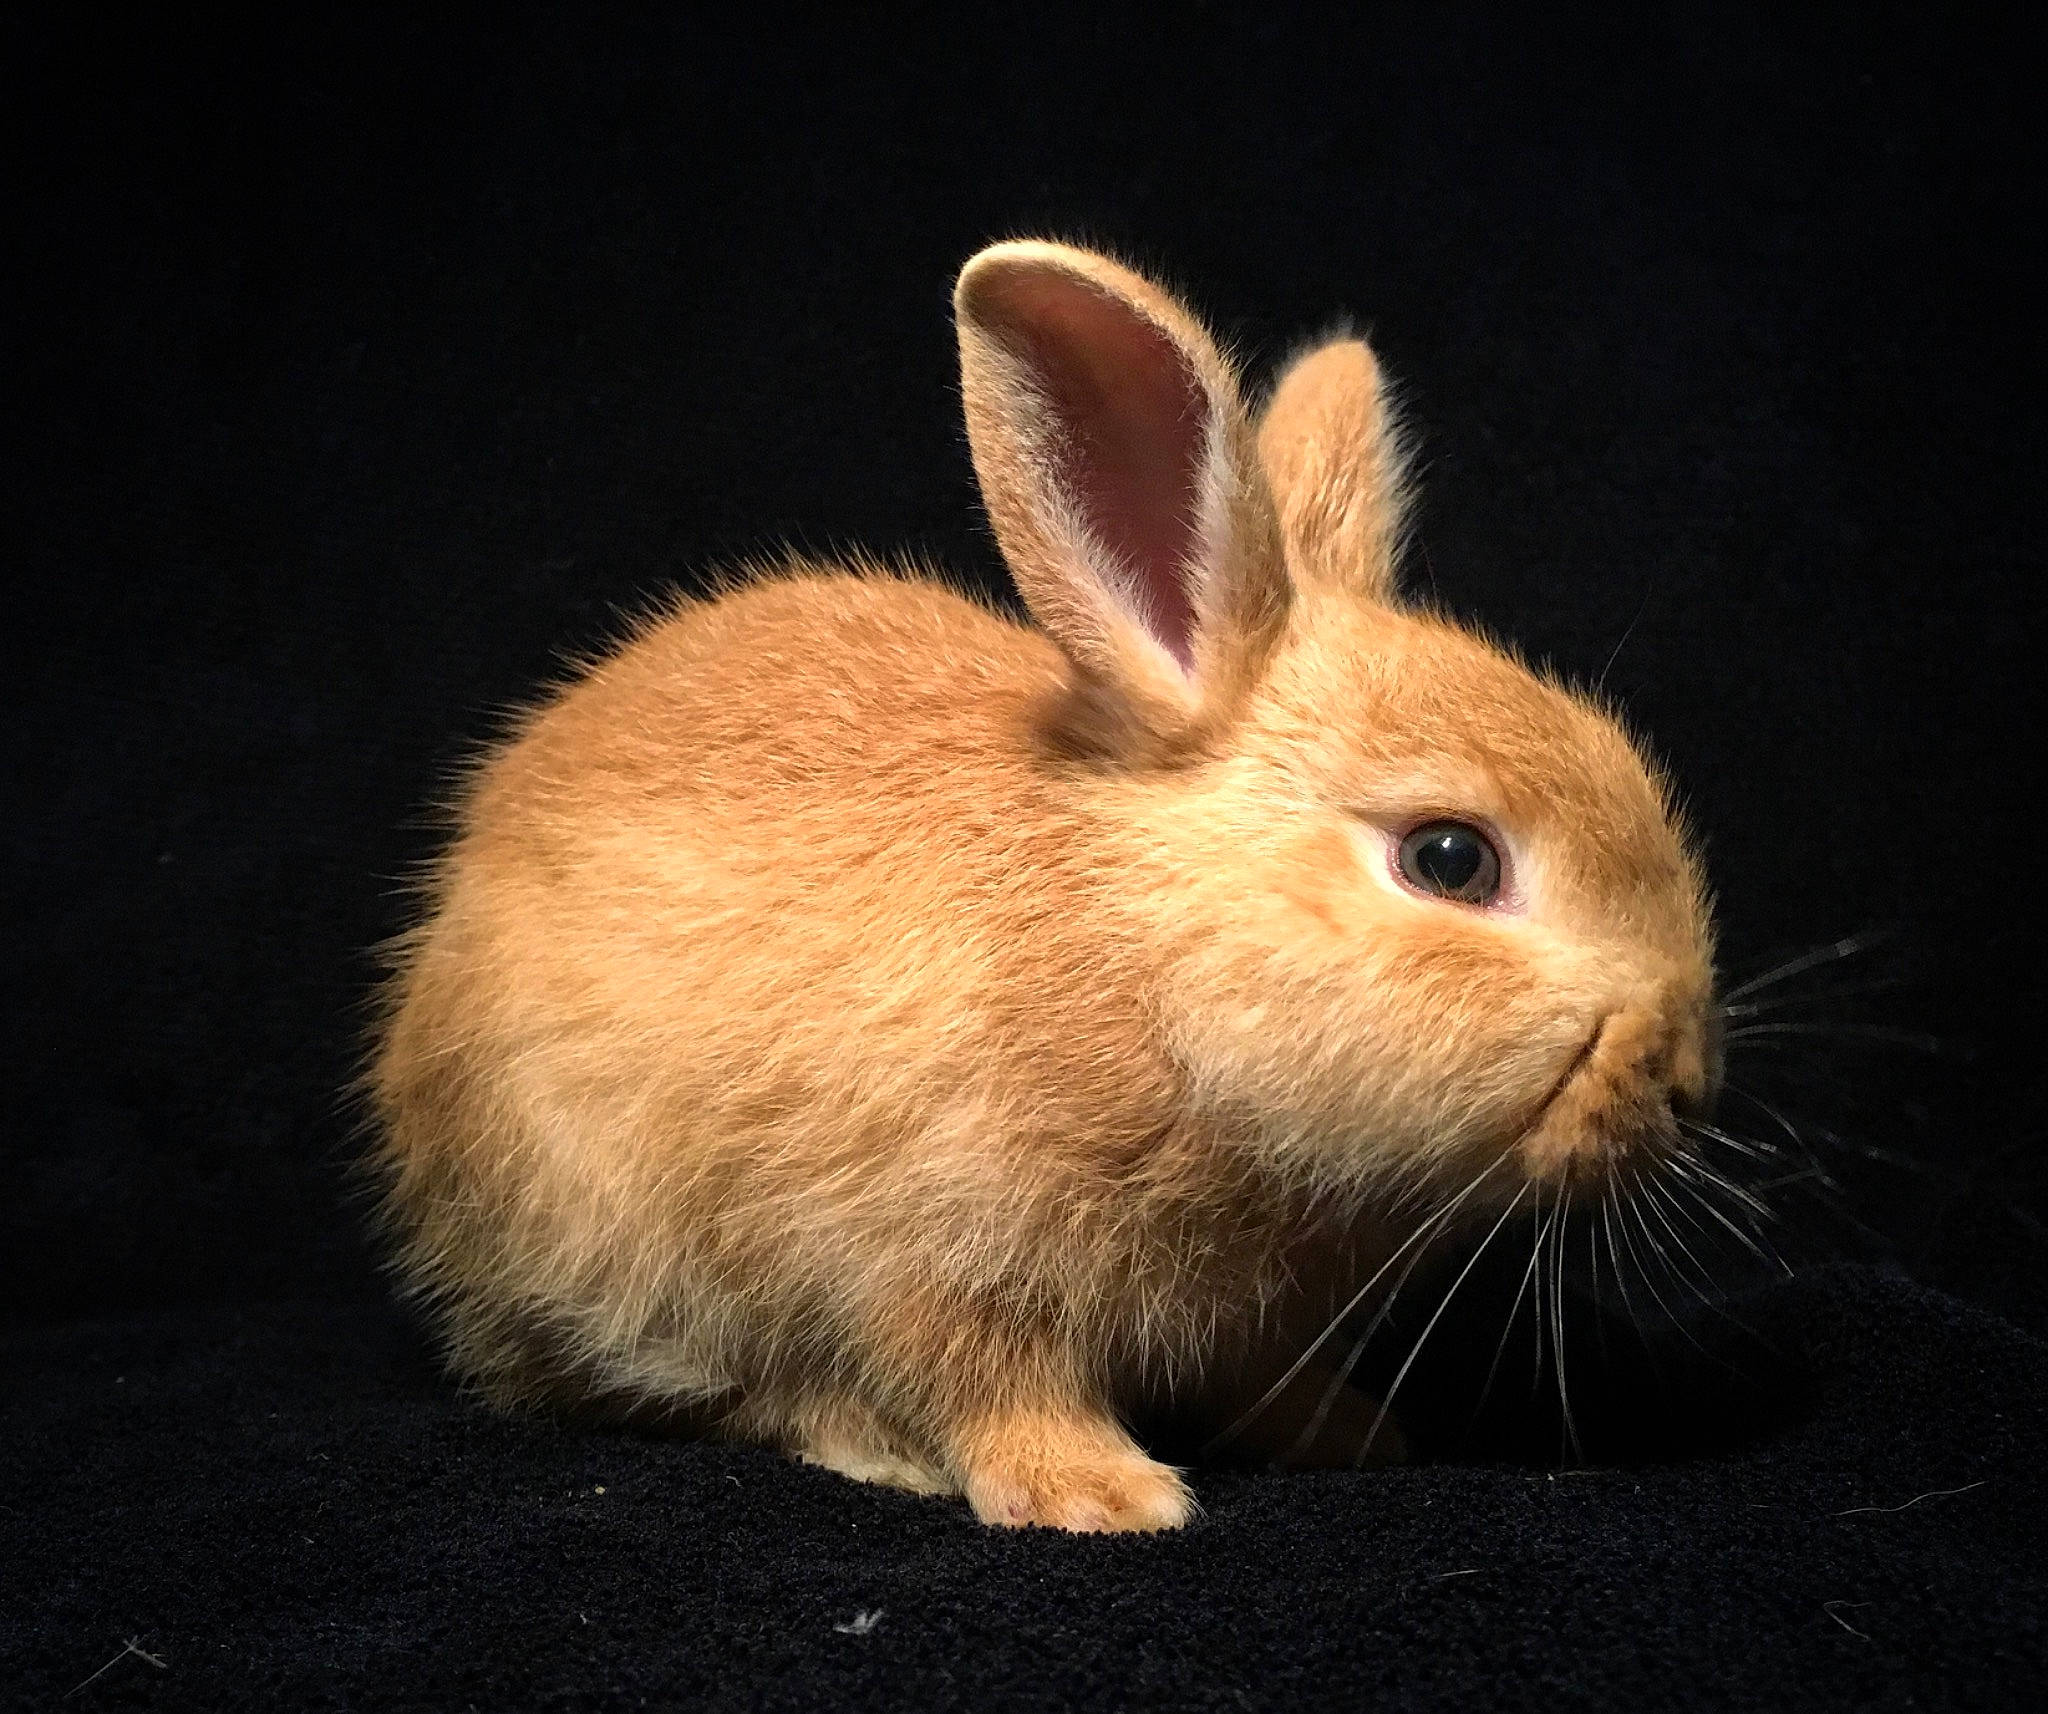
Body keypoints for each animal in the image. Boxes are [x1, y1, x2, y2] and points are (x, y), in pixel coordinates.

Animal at [368, 240, 1719, 1533]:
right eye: (1449, 859)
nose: (1686, 1078)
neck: (1145, 961)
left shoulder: (1246, 1324)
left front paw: (1352, 1436)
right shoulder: (926, 1249)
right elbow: (989, 1379)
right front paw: (1102, 1497)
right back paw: (871, 1444)